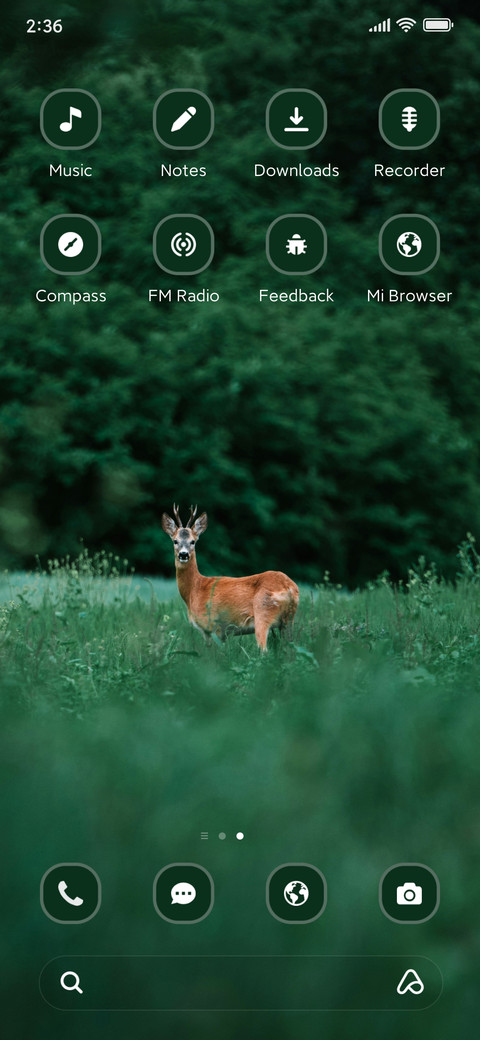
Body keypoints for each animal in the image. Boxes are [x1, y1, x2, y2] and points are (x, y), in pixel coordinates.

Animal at [161, 505, 299, 651]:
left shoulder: (212, 626)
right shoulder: (222, 634)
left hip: (263, 614)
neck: (194, 589)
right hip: (288, 620)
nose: (183, 554)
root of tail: (288, 587)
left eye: (193, 541)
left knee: (264, 649)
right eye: (175, 541)